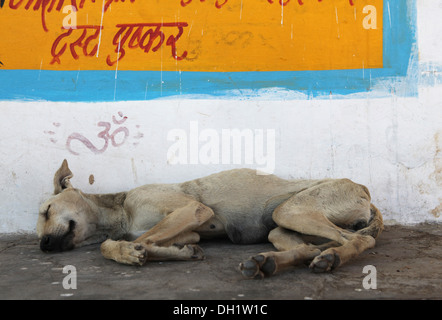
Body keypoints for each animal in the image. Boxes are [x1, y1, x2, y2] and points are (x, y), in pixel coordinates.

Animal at [38, 160, 384, 278]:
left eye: (46, 210)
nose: (43, 245)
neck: (120, 210)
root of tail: (366, 191)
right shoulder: (188, 229)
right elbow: (156, 241)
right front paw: (177, 252)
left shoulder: (193, 210)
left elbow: (116, 244)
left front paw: (128, 251)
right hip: (281, 227)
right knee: (309, 247)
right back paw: (266, 263)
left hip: (290, 210)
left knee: (360, 239)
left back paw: (332, 259)